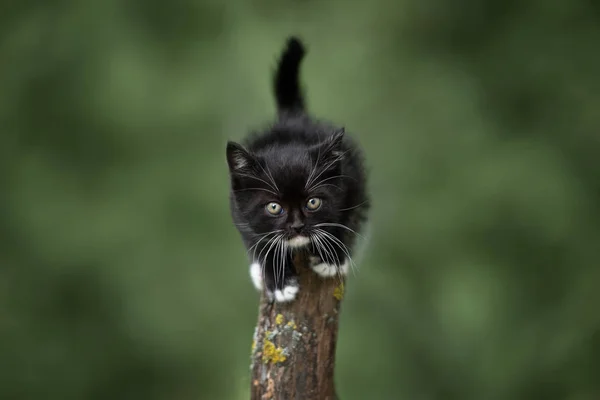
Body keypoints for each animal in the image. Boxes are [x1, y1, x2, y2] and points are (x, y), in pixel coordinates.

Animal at [226, 37, 370, 302]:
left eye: (313, 202)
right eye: (274, 207)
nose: (297, 226)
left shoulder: (353, 181)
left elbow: (345, 218)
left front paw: (330, 257)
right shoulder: (238, 210)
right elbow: (259, 240)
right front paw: (279, 280)